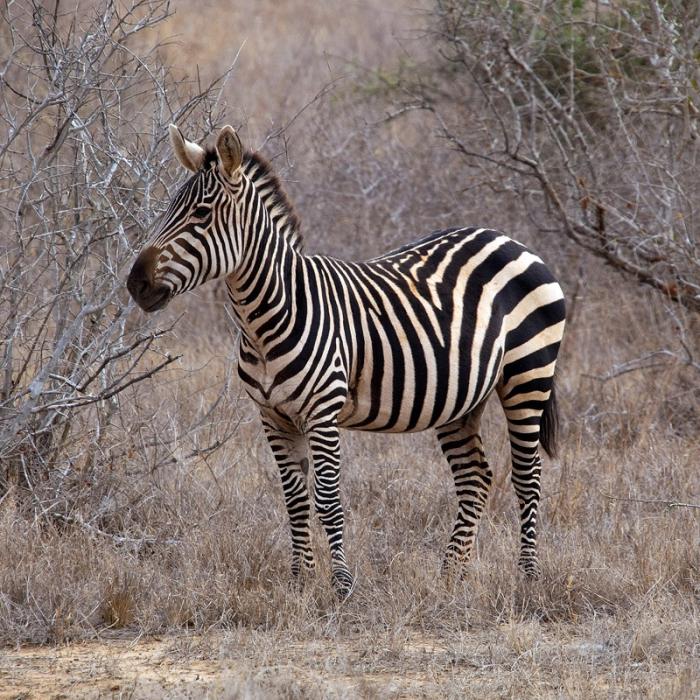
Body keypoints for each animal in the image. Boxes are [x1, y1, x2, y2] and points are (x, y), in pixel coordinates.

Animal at [127, 124, 564, 596]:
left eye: (202, 214)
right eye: (170, 209)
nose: (135, 283)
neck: (266, 319)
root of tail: (506, 238)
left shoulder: (322, 412)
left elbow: (328, 499)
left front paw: (341, 585)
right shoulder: (272, 415)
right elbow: (295, 500)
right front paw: (300, 580)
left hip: (527, 375)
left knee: (527, 476)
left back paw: (528, 577)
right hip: (461, 397)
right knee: (475, 478)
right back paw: (450, 576)